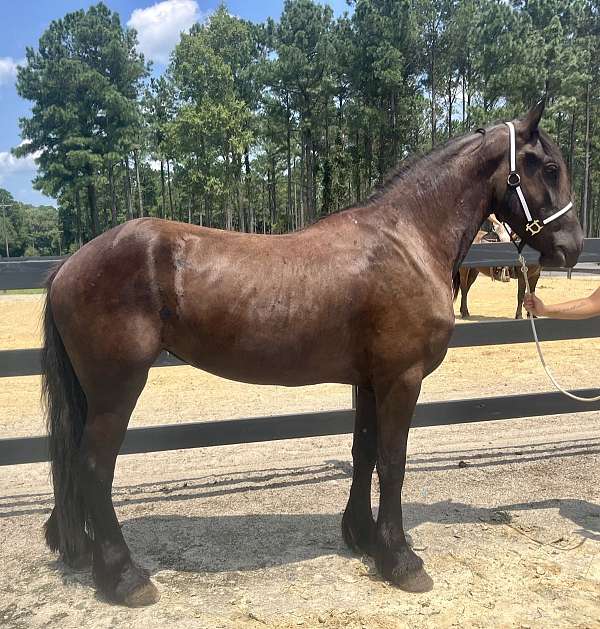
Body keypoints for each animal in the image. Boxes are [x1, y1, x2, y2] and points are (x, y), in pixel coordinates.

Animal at [41, 100, 580, 604]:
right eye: (550, 167)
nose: (571, 248)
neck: (407, 240)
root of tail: (71, 264)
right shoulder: (402, 379)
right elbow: (394, 460)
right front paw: (401, 560)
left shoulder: (370, 380)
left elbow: (364, 452)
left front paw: (363, 538)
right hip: (117, 389)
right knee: (95, 467)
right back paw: (125, 578)